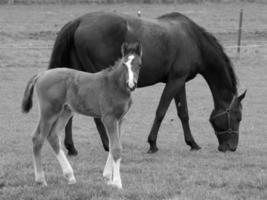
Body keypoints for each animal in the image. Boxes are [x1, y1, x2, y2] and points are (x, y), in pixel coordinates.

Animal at [21, 42, 142, 189]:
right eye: (124, 64)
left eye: (139, 64)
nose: (131, 84)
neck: (115, 85)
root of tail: (41, 74)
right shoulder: (109, 118)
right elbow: (116, 148)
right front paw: (117, 183)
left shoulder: (119, 119)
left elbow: (114, 146)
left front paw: (108, 178)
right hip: (49, 112)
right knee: (38, 138)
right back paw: (41, 180)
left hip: (65, 111)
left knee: (53, 136)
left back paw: (70, 177)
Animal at [49, 10, 247, 155]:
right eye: (237, 117)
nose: (232, 147)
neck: (194, 41)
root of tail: (79, 21)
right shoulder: (175, 81)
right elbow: (161, 111)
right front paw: (152, 144)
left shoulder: (179, 81)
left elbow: (183, 113)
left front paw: (192, 143)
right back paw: (107, 144)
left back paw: (71, 147)